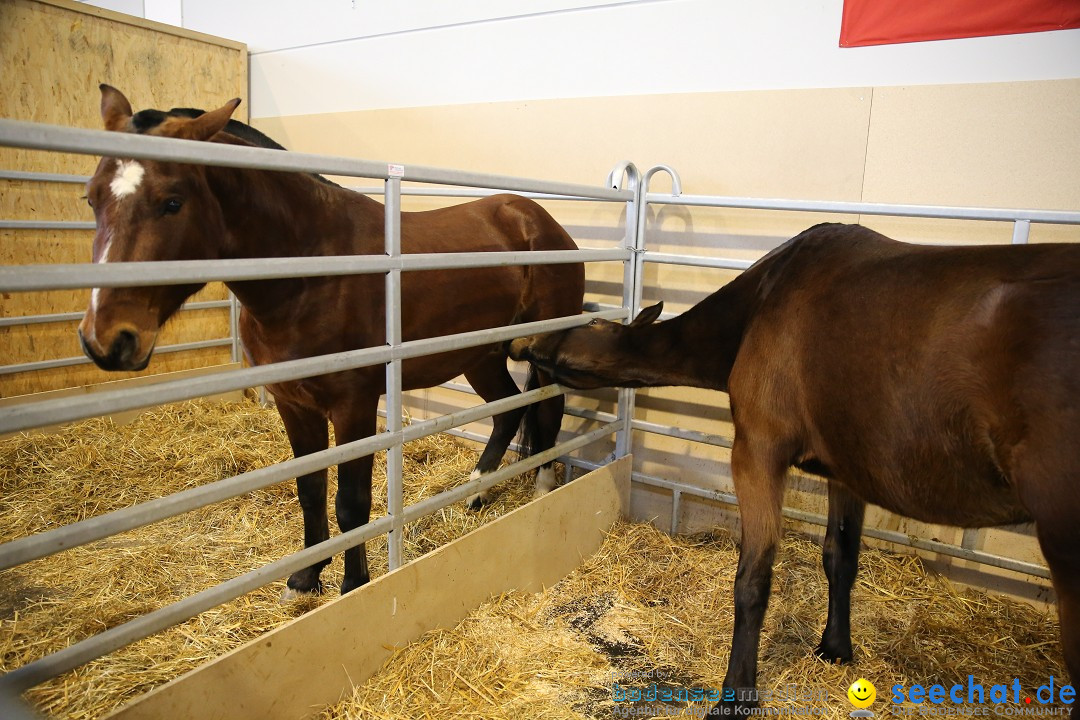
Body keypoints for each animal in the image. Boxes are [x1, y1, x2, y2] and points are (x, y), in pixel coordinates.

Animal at [79, 85, 587, 595]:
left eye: (172, 201)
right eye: (92, 199)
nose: (107, 338)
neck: (310, 271)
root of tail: (539, 221)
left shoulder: (353, 405)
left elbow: (351, 502)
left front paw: (354, 585)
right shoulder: (293, 403)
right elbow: (311, 489)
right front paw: (306, 575)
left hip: (541, 348)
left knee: (548, 406)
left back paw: (543, 489)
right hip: (478, 355)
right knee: (507, 410)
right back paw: (476, 492)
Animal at [511, 223, 1080, 716]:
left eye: (587, 324)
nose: (525, 345)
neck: (762, 304)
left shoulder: (758, 451)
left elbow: (753, 578)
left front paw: (735, 697)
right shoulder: (846, 472)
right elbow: (840, 557)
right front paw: (835, 647)